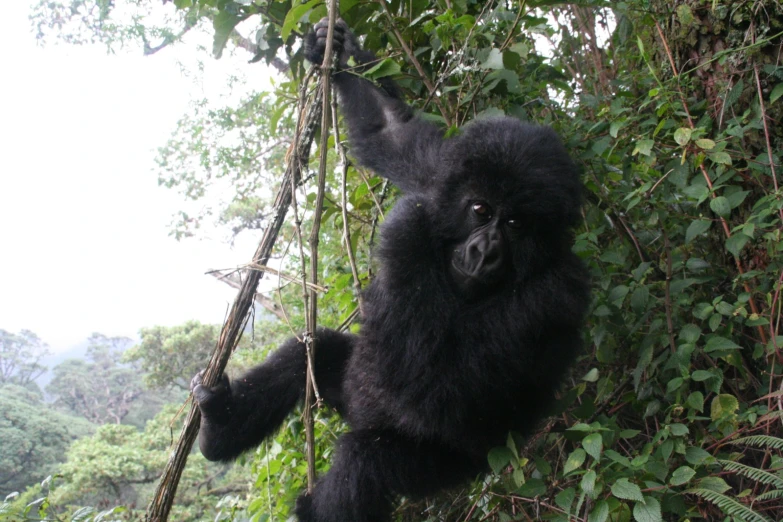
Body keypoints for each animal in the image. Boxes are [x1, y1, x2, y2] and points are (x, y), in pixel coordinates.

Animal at [193, 18, 592, 516]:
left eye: (516, 224)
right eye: (481, 210)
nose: (485, 252)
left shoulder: (556, 297)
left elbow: (444, 391)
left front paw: (407, 236)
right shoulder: (442, 172)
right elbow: (390, 130)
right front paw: (333, 45)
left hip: (452, 467)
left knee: (368, 458)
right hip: (344, 393)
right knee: (313, 353)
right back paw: (220, 425)